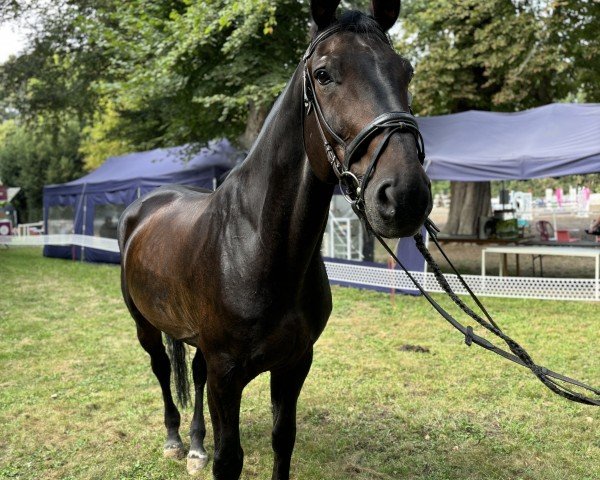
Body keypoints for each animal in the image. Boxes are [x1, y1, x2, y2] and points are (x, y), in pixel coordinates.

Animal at [118, 1, 432, 478]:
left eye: (406, 71)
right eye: (323, 74)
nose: (406, 195)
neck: (258, 246)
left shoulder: (294, 363)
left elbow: (284, 439)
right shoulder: (227, 375)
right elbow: (229, 458)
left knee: (192, 372)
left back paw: (195, 444)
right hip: (145, 325)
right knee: (161, 369)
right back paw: (174, 439)